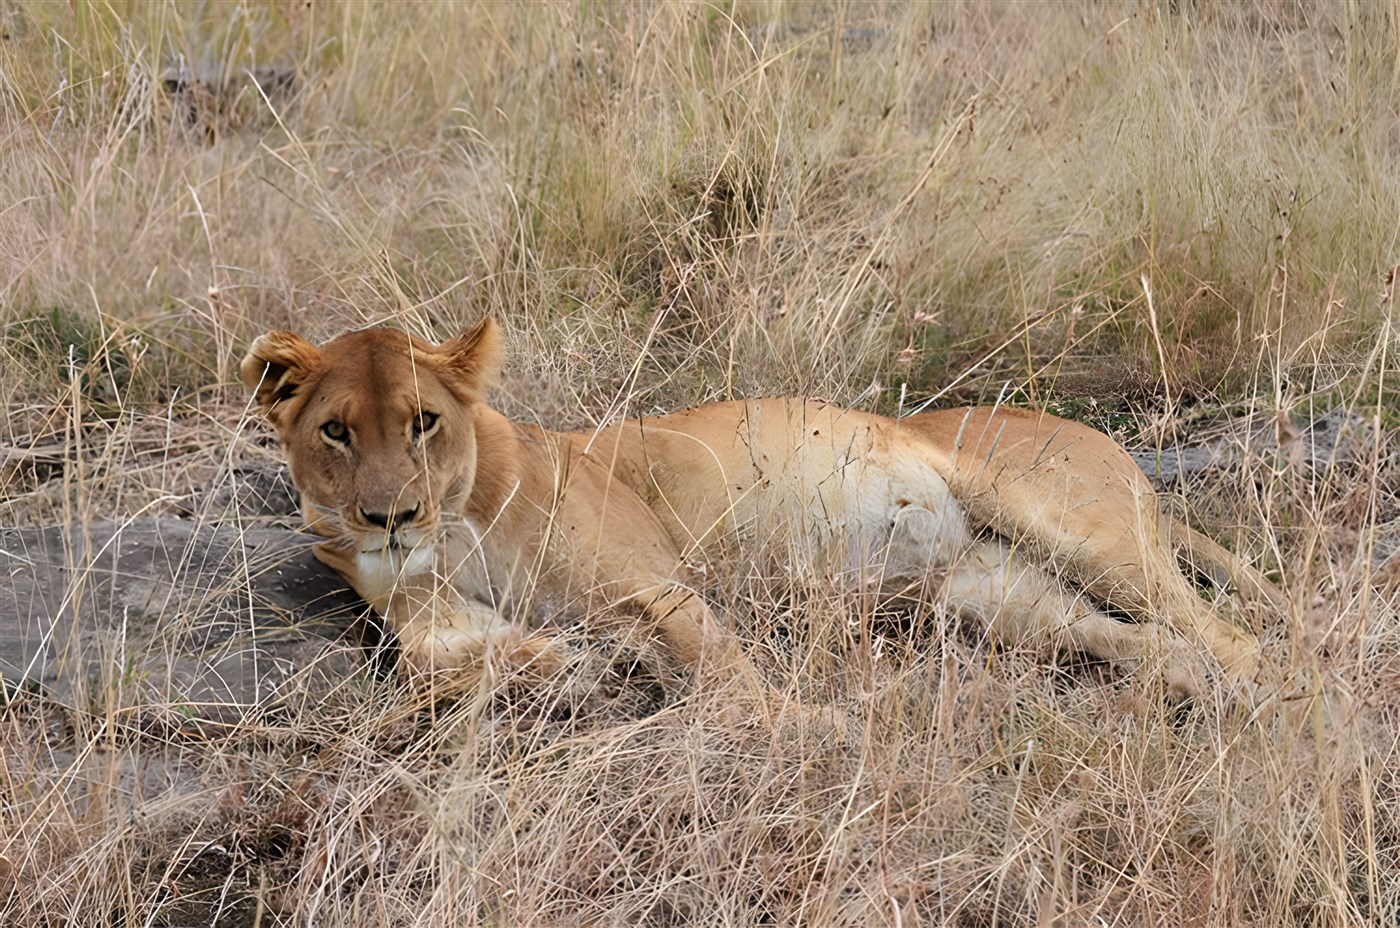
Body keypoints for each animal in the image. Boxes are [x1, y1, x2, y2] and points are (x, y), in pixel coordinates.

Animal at [241, 319, 1280, 702]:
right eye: (335, 433)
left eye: (424, 422)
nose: (390, 516)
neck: (455, 529)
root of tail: (1114, 446)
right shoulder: (417, 605)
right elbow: (435, 655)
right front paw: (560, 662)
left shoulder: (658, 582)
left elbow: (730, 678)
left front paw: (809, 736)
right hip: (998, 595)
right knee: (1156, 644)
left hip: (1065, 523)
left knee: (1237, 638)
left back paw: (1282, 712)